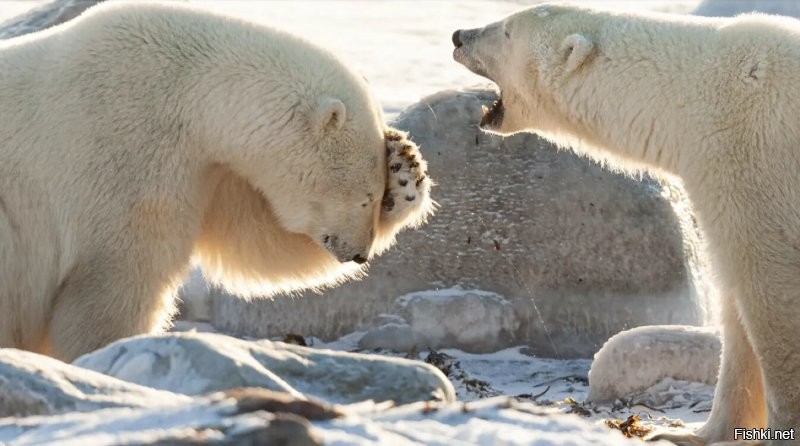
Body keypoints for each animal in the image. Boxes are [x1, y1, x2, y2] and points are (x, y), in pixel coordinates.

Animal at [0, 0, 432, 362]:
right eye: (364, 197)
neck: (186, 92)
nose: (359, 253)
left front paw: (405, 168)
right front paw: (111, 352)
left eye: (376, 196)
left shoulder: (209, 169)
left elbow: (256, 239)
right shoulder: (124, 149)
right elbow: (118, 276)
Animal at [454, 4, 800, 446]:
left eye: (507, 31)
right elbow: (736, 304)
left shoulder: (753, 161)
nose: (458, 36)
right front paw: (692, 434)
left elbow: (772, 296)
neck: (692, 94)